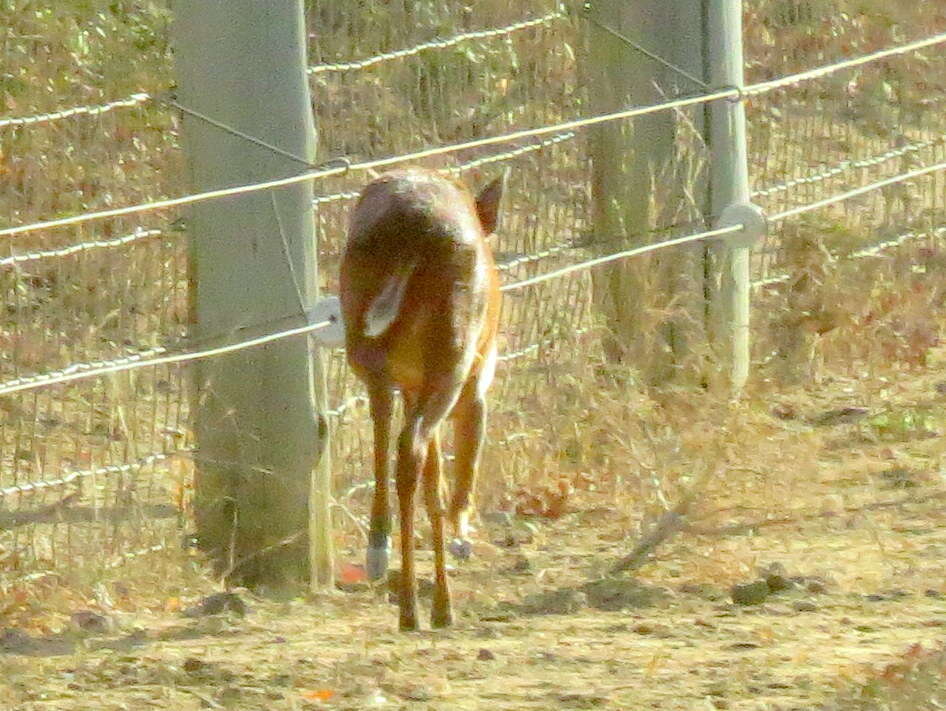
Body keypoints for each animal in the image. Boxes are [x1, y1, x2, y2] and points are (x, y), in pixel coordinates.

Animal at [338, 168, 502, 636]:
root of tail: (414, 228)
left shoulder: (413, 385)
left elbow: (434, 481)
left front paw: (441, 604)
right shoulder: (476, 380)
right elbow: (456, 469)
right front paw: (461, 540)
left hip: (365, 343)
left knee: (387, 430)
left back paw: (381, 558)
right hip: (455, 353)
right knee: (409, 448)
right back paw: (413, 605)